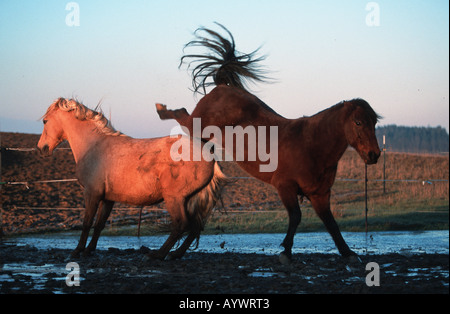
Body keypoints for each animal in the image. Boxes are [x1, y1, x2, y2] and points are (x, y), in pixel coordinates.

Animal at [37, 98, 227, 260]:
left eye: (45, 121)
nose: (41, 149)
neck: (94, 146)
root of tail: (207, 150)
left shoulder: (91, 194)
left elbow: (86, 223)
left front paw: (77, 251)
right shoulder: (107, 199)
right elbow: (99, 224)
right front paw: (89, 250)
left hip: (176, 198)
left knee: (181, 224)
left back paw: (157, 255)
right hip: (191, 199)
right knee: (195, 227)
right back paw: (175, 254)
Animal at [156, 23, 382, 262]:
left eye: (374, 121)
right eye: (358, 122)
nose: (374, 154)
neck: (312, 147)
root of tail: (222, 86)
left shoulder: (320, 195)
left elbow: (331, 225)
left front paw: (348, 253)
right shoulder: (285, 186)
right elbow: (296, 217)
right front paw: (285, 251)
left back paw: (175, 253)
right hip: (195, 125)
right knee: (180, 113)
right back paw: (161, 109)